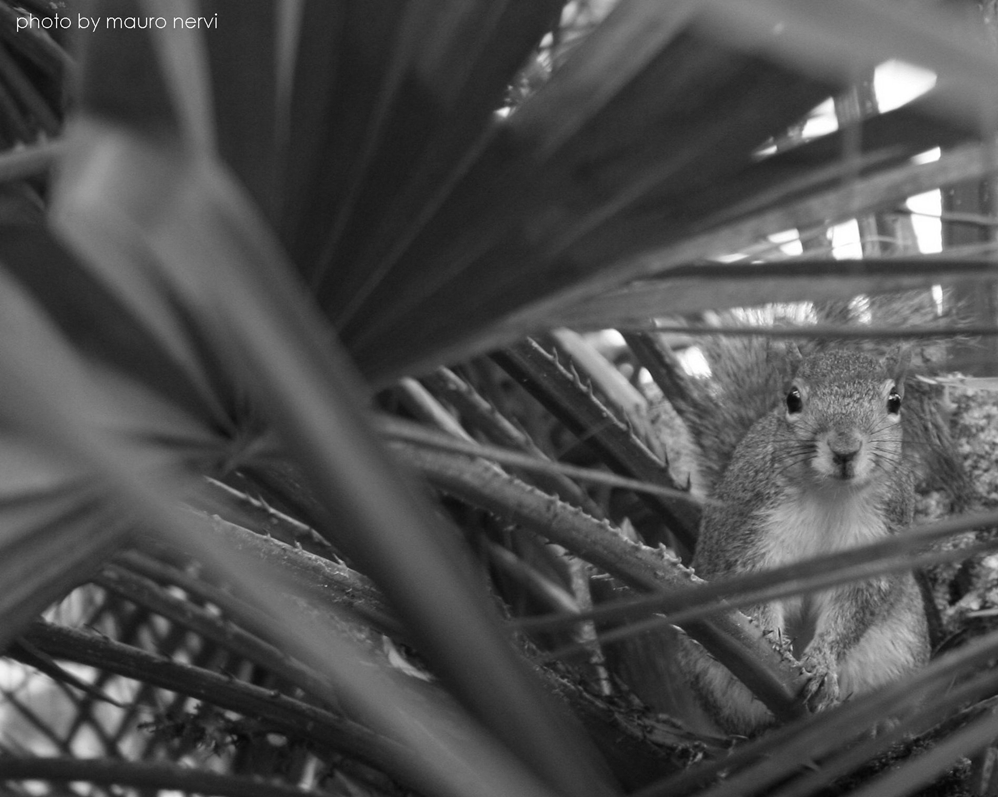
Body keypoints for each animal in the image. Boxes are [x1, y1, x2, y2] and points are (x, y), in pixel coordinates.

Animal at [684, 346, 932, 732]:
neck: (829, 492)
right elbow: (753, 588)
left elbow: (853, 607)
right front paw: (770, 644)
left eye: (894, 401)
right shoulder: (751, 530)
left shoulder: (880, 535)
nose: (845, 448)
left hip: (904, 652)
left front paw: (822, 665)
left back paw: (881, 724)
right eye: (793, 398)